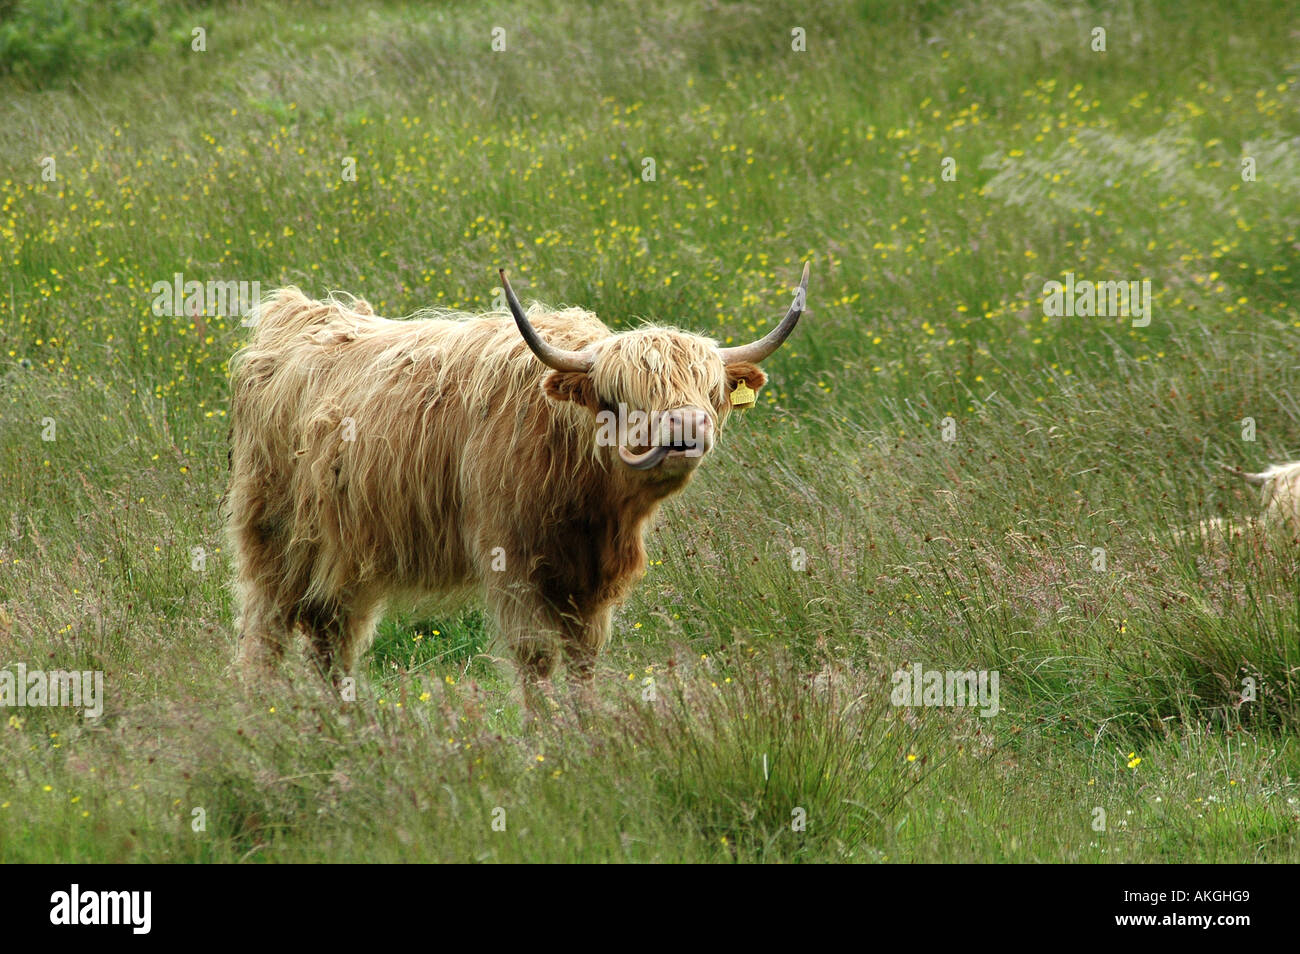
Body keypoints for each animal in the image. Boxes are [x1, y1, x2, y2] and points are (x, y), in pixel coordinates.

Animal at [225, 264, 809, 694]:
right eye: (621, 395)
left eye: (709, 390)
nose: (686, 427)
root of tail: (298, 313)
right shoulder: (511, 562)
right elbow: (537, 658)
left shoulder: (590, 582)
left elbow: (583, 659)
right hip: (271, 536)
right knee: (266, 632)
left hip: (345, 553)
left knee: (332, 639)